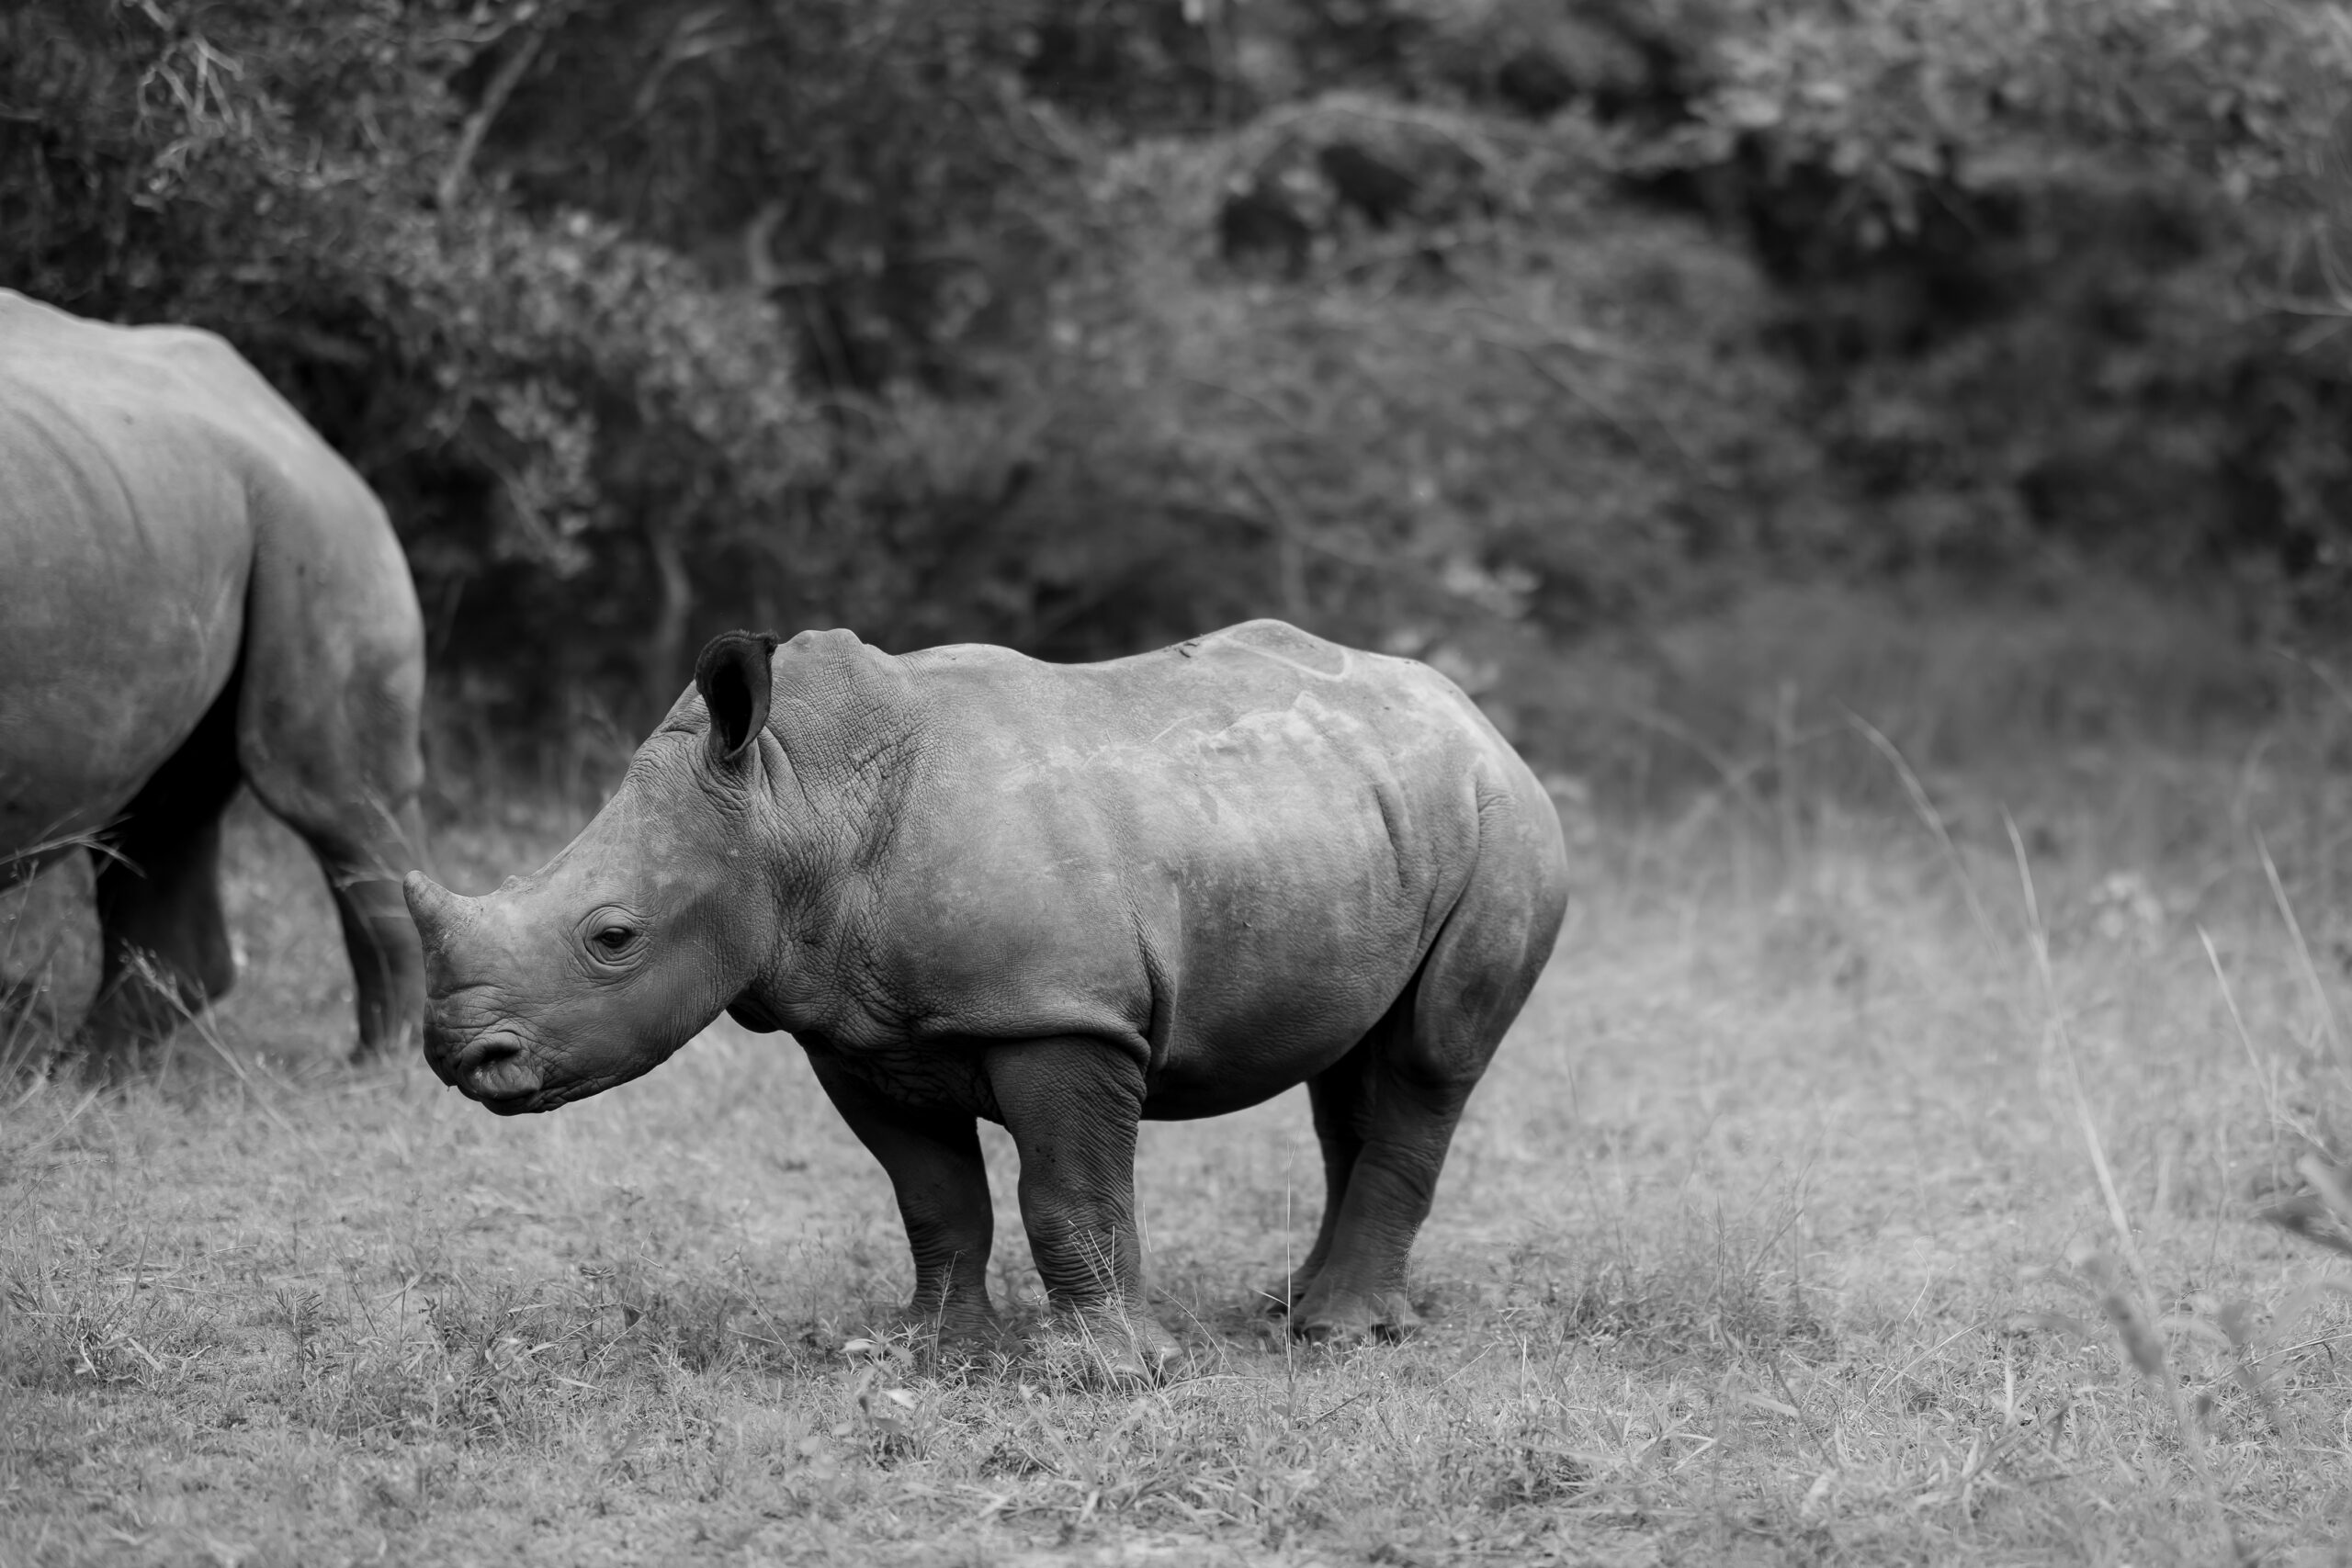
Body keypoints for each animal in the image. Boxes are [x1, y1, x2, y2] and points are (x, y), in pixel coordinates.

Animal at [0, 290, 427, 1066]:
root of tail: (309, 433)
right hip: (175, 513)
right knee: (163, 800)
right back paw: (85, 1070)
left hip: (319, 525)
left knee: (332, 799)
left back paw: (386, 1066)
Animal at [404, 620, 1569, 1366]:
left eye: (612, 938)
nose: (459, 1058)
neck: (793, 800)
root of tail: (1476, 718)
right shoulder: (853, 1032)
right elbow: (933, 1196)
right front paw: (924, 1351)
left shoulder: (1059, 1013)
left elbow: (1067, 1192)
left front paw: (1103, 1374)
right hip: (1356, 818)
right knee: (1347, 1067)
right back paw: (1288, 1304)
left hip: (1504, 827)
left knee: (1428, 1058)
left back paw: (1338, 1336)